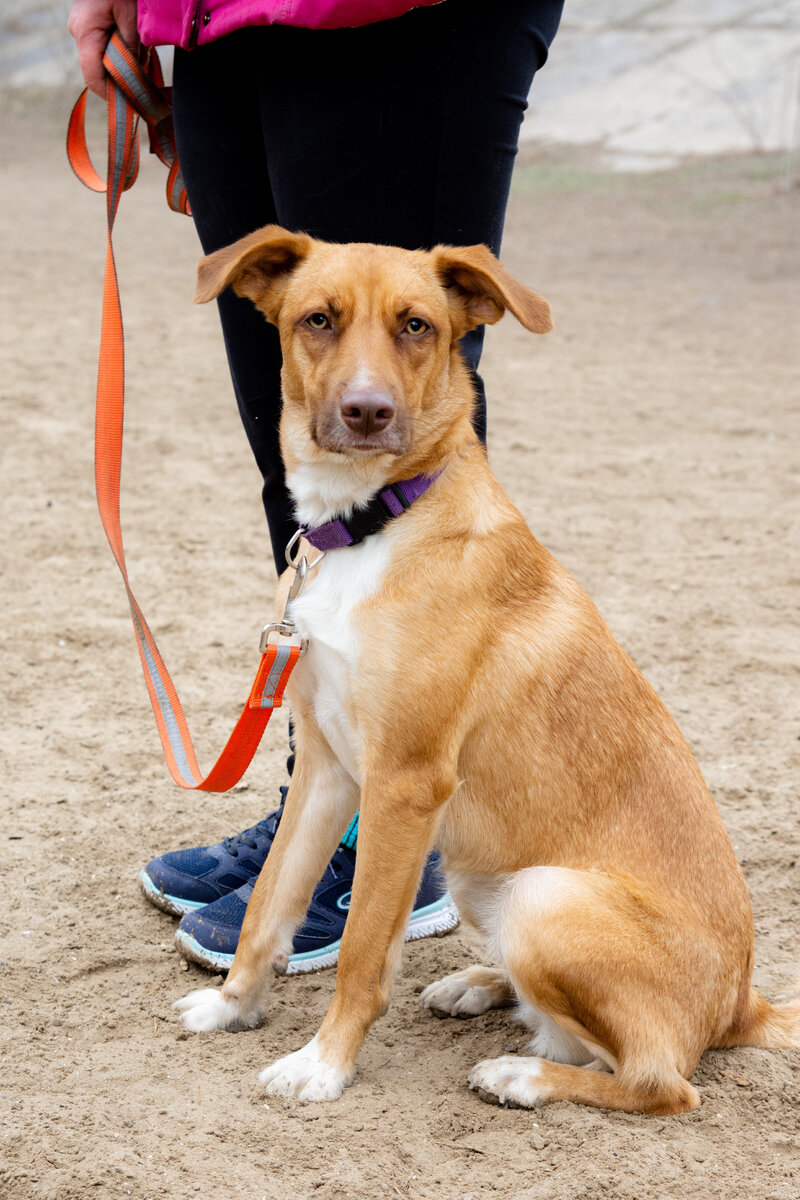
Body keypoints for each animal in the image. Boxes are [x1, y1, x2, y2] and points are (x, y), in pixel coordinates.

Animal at [172, 226, 796, 1113]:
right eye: (318, 319)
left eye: (418, 326)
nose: (368, 412)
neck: (371, 525)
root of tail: (743, 1004)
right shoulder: (328, 767)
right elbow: (268, 906)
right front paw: (232, 1007)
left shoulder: (405, 783)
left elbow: (363, 951)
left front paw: (324, 1064)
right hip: (481, 878)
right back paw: (478, 984)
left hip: (544, 894)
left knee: (659, 1081)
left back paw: (524, 1075)